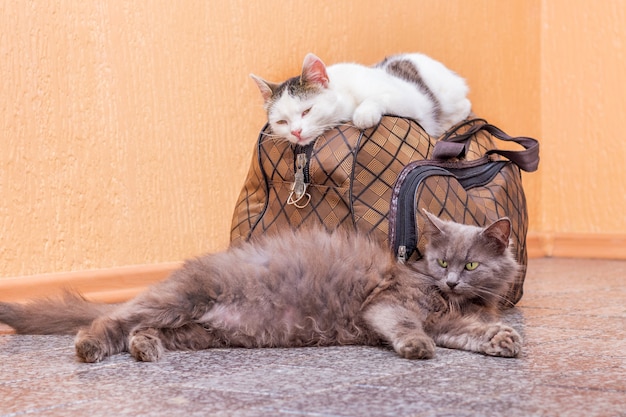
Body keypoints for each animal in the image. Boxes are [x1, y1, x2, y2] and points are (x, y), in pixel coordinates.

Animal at [0, 211, 520, 360]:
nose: (450, 281)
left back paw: (146, 348)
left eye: (471, 266)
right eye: (443, 261)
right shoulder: (387, 302)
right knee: (113, 318)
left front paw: (502, 338)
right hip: (183, 299)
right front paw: (416, 347)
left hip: (199, 331)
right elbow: (407, 324)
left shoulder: (451, 321)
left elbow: (470, 333)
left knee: (138, 330)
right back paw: (91, 345)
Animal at [249, 52, 468, 145]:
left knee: (465, 106)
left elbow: (377, 97)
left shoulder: (410, 99)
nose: (295, 132)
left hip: (447, 96)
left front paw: (363, 114)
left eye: (307, 111)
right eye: (281, 122)